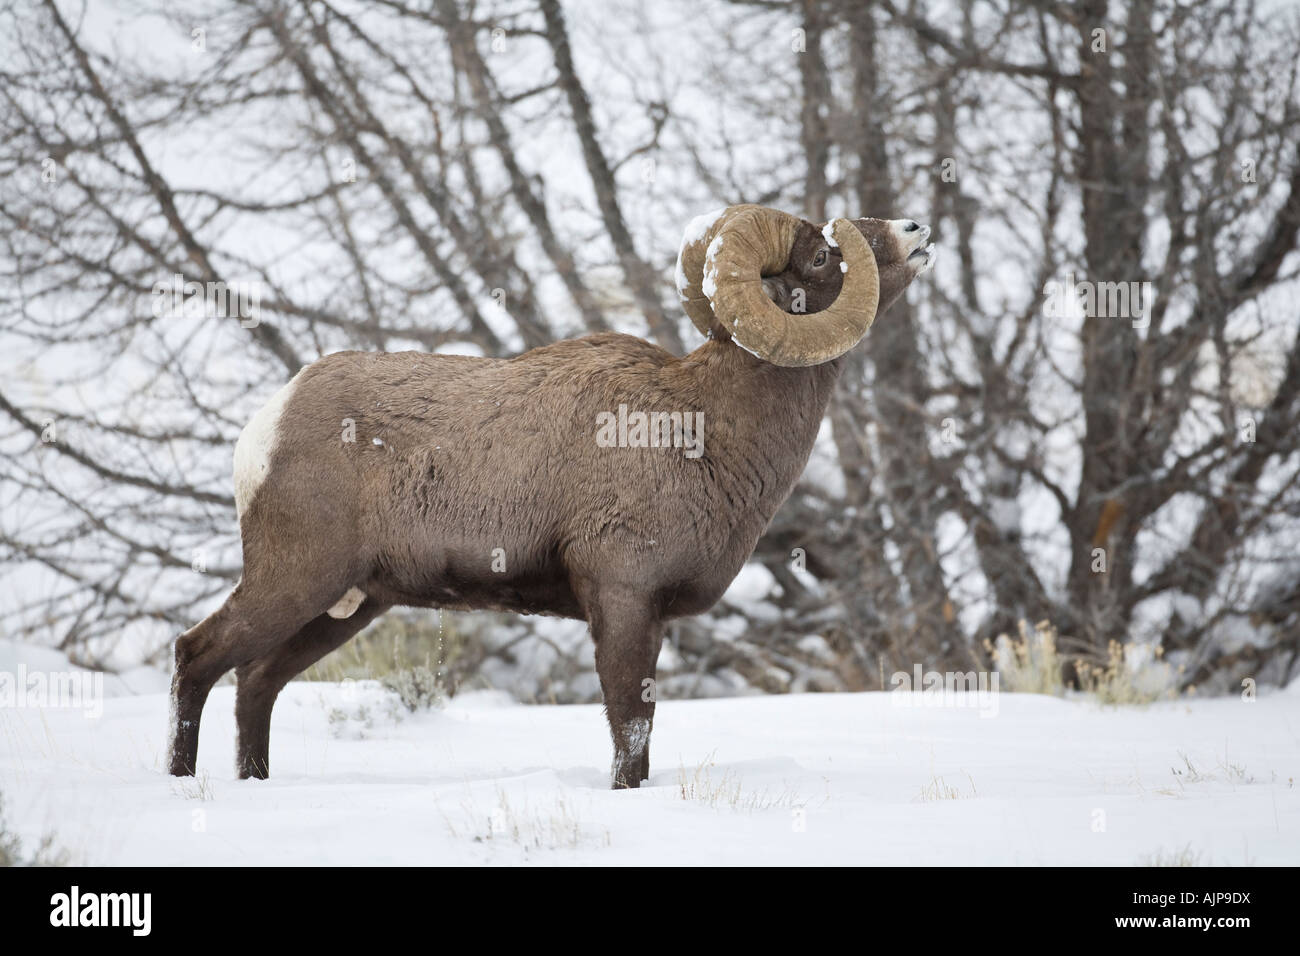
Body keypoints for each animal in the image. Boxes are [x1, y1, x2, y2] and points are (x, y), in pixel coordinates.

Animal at [167, 204, 936, 788]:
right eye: (821, 257)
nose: (916, 230)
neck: (703, 427)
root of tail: (267, 426)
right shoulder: (623, 600)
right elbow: (630, 732)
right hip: (296, 580)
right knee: (198, 657)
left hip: (347, 605)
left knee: (256, 682)